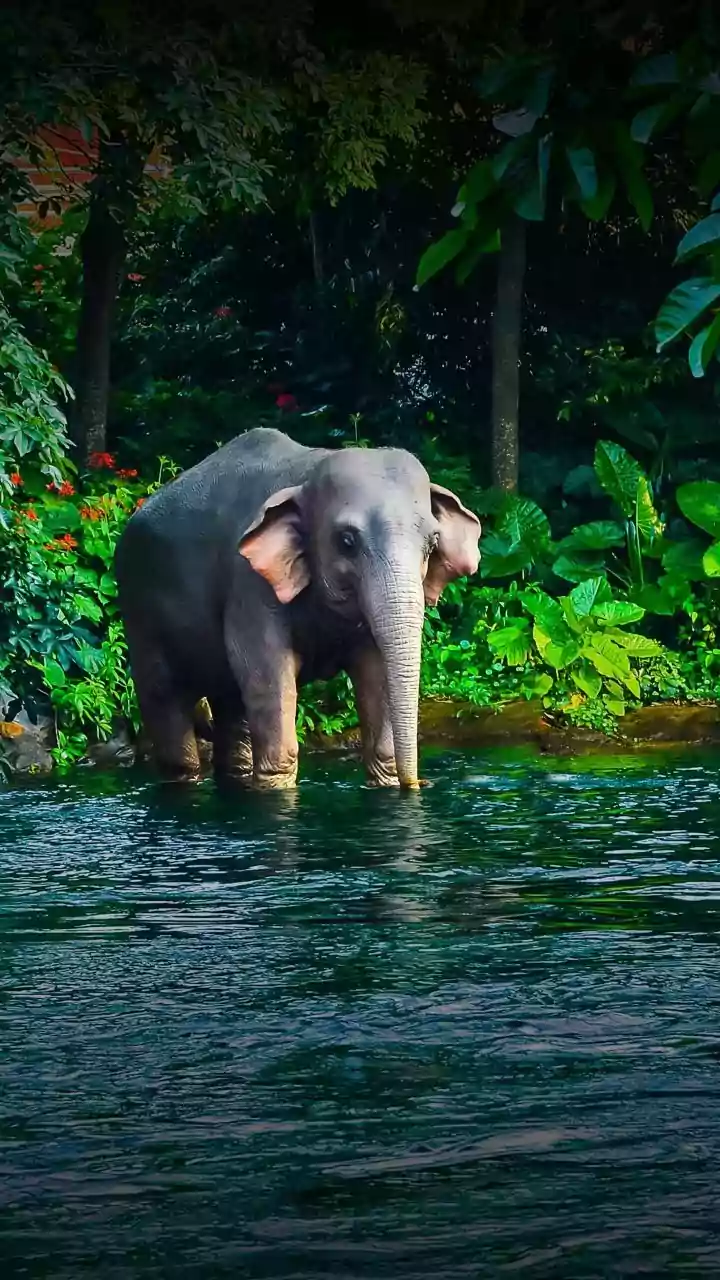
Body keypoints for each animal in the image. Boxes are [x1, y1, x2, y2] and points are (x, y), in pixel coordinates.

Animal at [115, 428, 481, 790]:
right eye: (347, 541)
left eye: (432, 544)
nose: (418, 784)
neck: (308, 472)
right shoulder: (248, 584)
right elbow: (264, 673)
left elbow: (375, 671)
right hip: (139, 611)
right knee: (166, 705)